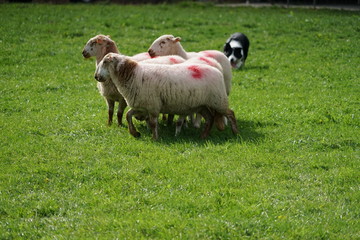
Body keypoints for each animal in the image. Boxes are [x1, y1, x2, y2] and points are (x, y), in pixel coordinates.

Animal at [95, 52, 239, 139]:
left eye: (105, 62)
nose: (96, 77)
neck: (132, 74)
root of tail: (218, 71)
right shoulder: (142, 106)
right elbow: (128, 115)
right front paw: (135, 133)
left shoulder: (152, 106)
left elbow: (153, 123)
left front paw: (155, 138)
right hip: (202, 105)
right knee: (210, 118)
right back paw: (203, 135)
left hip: (218, 100)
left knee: (230, 113)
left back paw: (235, 132)